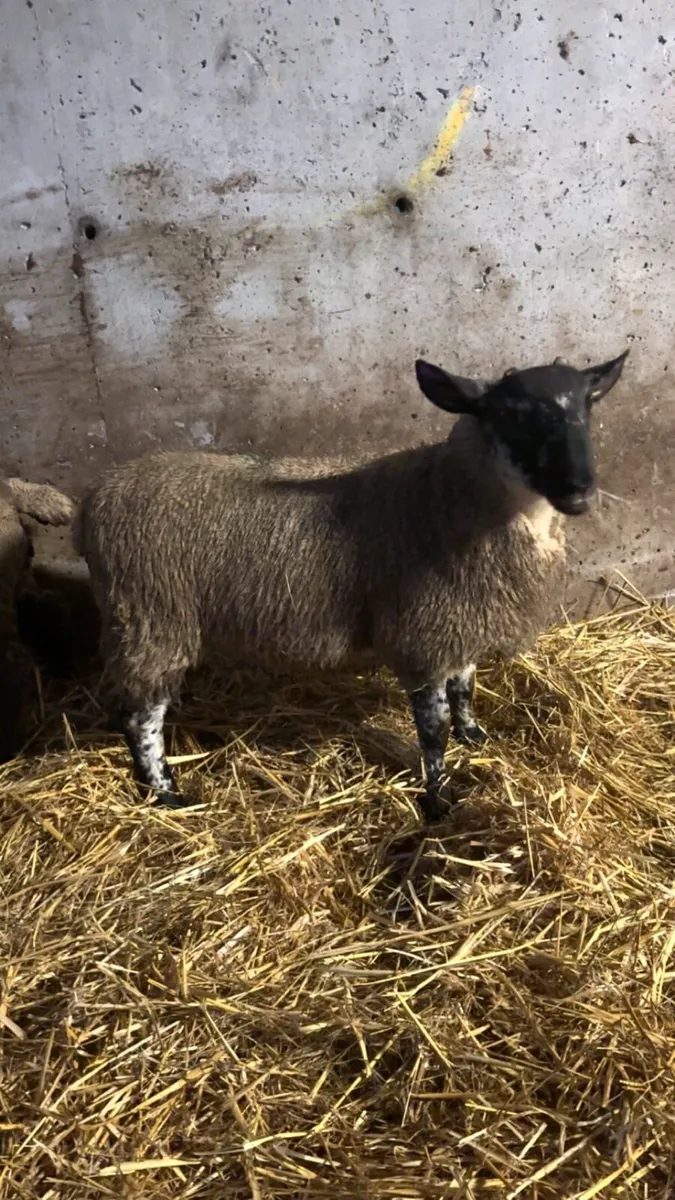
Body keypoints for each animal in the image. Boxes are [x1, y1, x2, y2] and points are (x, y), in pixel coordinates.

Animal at [74, 351, 628, 820]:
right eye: (511, 414)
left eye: (588, 406)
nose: (581, 490)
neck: (447, 495)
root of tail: (96, 498)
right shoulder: (422, 635)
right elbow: (433, 731)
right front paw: (439, 798)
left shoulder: (462, 620)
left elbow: (466, 687)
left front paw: (474, 735)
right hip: (151, 621)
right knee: (139, 717)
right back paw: (166, 792)